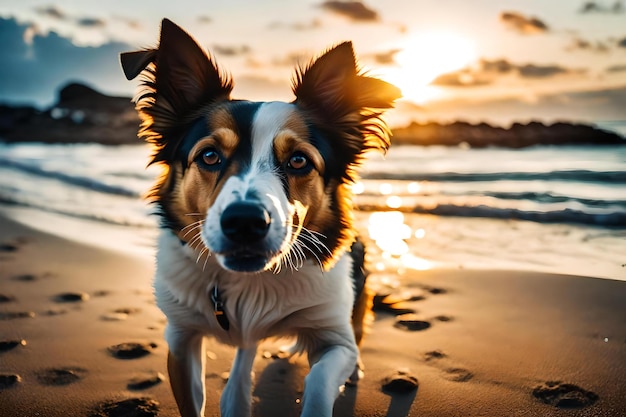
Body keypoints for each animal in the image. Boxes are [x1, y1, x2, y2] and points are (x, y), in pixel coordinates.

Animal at [119, 17, 398, 416]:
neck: (249, 283)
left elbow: (319, 380)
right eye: (209, 156)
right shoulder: (181, 338)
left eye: (298, 160)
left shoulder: (334, 336)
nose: (244, 222)